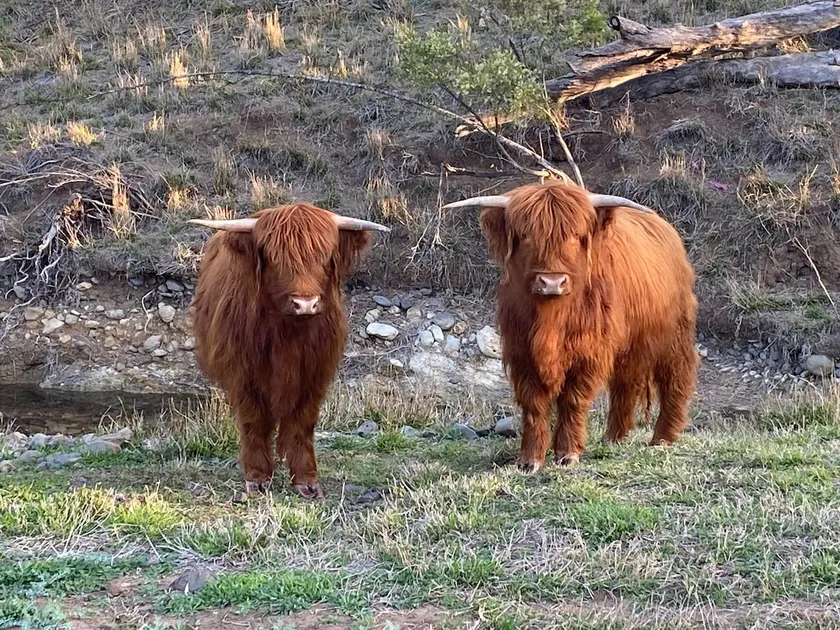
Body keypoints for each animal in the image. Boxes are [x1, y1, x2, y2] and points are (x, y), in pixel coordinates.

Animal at [189, 203, 389, 499]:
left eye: (324, 256)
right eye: (274, 258)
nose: (305, 303)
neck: (289, 335)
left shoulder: (315, 375)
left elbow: (302, 423)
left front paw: (306, 480)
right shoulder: (243, 375)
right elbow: (254, 421)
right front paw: (257, 478)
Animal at [443, 180, 699, 473]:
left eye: (576, 235)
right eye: (526, 235)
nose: (552, 283)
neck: (551, 318)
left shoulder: (588, 352)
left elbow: (573, 400)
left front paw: (568, 454)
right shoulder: (521, 352)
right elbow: (533, 404)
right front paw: (530, 460)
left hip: (674, 333)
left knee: (676, 376)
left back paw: (663, 437)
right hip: (632, 344)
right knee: (626, 382)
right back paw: (614, 437)